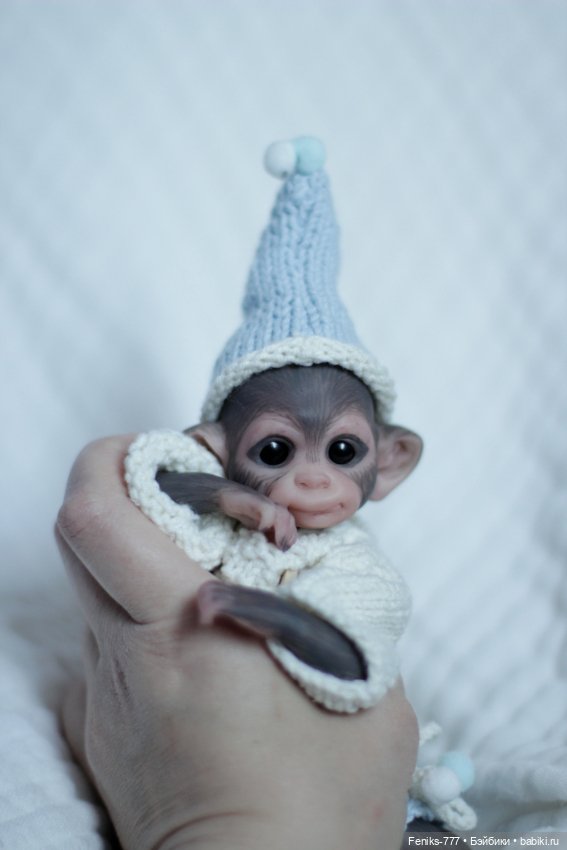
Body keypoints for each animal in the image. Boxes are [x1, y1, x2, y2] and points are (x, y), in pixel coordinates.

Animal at [155, 364, 423, 684]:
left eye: (342, 451)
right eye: (274, 451)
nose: (314, 480)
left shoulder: (370, 568)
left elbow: (349, 656)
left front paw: (240, 601)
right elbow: (160, 482)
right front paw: (256, 505)